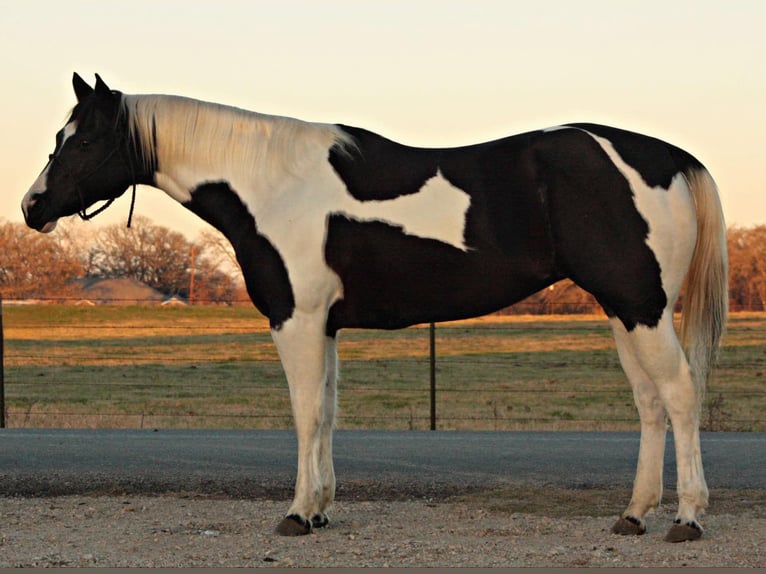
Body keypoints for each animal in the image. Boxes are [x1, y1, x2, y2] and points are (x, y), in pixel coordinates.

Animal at [22, 73, 728, 542]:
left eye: (81, 142)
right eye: (59, 135)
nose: (32, 207)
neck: (273, 183)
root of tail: (668, 157)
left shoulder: (297, 319)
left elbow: (306, 414)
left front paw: (297, 514)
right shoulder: (323, 325)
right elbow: (328, 413)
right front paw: (320, 508)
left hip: (642, 306)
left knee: (681, 394)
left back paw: (688, 518)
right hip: (623, 308)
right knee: (651, 403)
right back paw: (633, 515)